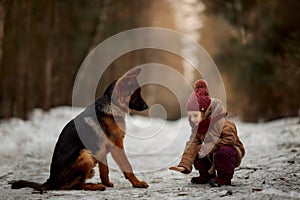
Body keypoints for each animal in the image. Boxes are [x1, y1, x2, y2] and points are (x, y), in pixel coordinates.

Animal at [10, 69, 149, 192]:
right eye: (135, 94)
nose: (146, 106)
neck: (112, 103)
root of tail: (51, 181)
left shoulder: (103, 149)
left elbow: (104, 170)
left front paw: (107, 183)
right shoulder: (116, 144)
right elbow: (127, 165)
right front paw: (137, 183)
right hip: (84, 154)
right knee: (72, 186)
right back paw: (95, 186)